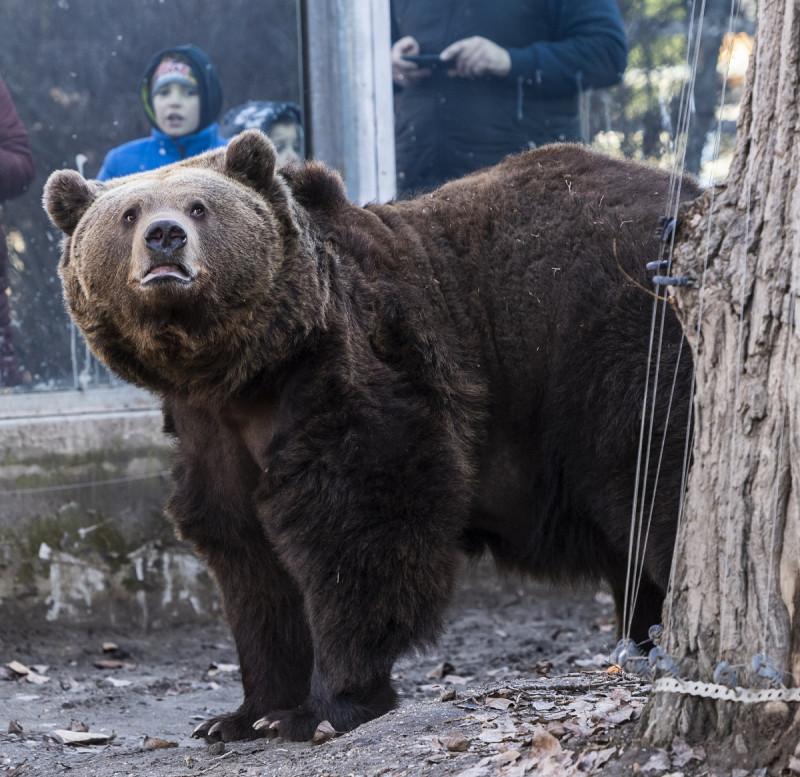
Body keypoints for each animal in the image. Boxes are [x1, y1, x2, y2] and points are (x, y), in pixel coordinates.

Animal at [42, 130, 692, 744]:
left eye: (199, 207)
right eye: (129, 213)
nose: (165, 236)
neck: (242, 373)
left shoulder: (352, 372)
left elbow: (358, 529)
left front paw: (321, 708)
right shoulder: (212, 434)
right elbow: (249, 562)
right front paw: (240, 715)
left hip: (616, 345)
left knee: (661, 488)